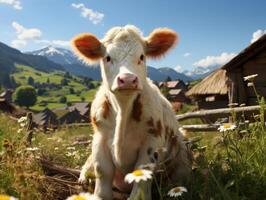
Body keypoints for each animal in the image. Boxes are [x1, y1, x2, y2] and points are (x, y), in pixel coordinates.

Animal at [70, 25, 191, 199]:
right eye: (107, 57)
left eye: (142, 56)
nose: (127, 79)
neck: (123, 108)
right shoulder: (100, 138)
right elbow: (103, 170)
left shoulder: (152, 140)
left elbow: (142, 171)